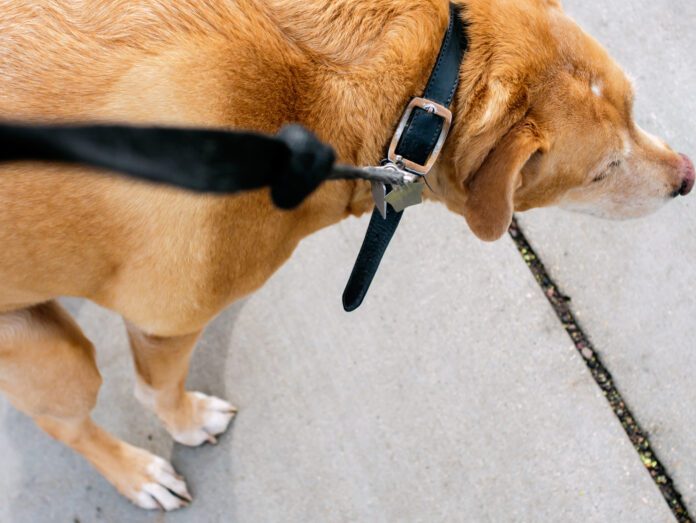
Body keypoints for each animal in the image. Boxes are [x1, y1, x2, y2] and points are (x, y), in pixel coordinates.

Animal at [0, 0, 692, 512]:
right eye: (603, 171)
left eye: (636, 105)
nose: (686, 178)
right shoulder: (164, 321)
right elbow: (157, 394)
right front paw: (186, 422)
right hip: (52, 353)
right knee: (65, 424)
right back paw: (138, 473)